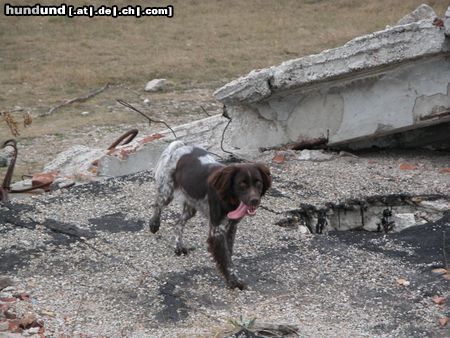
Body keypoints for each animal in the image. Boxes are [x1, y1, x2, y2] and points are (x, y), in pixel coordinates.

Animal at [149, 141, 272, 290]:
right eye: (242, 184)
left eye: (258, 182)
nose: (255, 200)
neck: (228, 197)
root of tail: (181, 145)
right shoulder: (217, 231)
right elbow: (226, 260)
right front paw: (234, 281)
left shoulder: (231, 227)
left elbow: (228, 254)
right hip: (167, 192)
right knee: (158, 205)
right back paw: (154, 224)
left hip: (191, 207)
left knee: (178, 224)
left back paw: (178, 246)